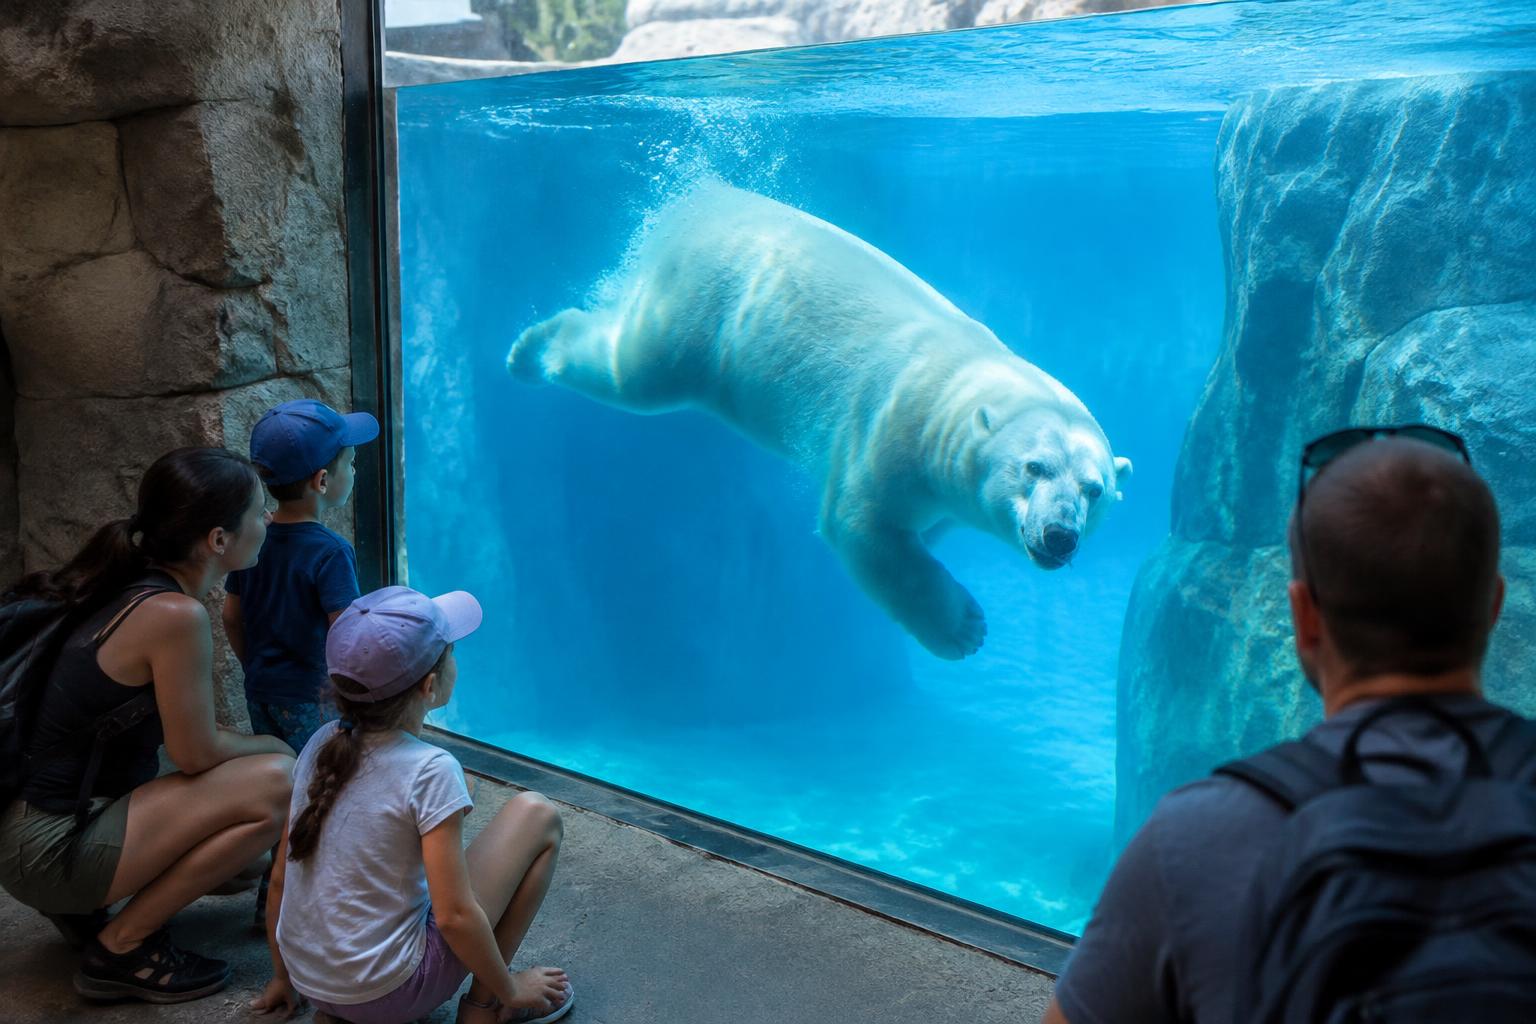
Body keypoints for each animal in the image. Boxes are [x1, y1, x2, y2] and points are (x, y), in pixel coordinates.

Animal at [508, 183, 1131, 659]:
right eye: (1034, 467)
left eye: (1094, 489)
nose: (1060, 535)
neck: (965, 377)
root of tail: (699, 201)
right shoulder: (894, 426)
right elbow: (861, 526)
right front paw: (962, 629)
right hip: (702, 313)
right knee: (636, 372)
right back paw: (532, 348)